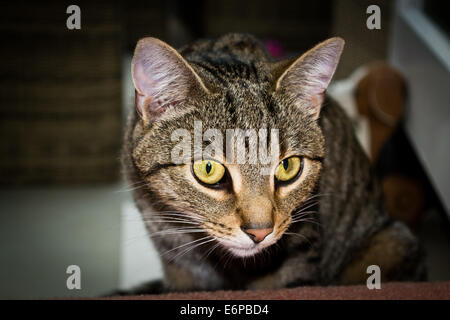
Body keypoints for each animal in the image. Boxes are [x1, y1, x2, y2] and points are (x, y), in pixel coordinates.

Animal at [122, 33, 426, 294]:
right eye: (208, 169)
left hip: (391, 242)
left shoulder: (300, 249)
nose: (260, 232)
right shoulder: (178, 265)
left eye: (288, 167)